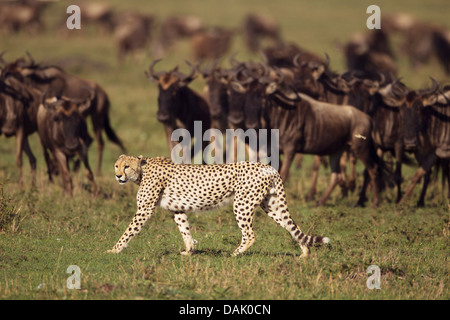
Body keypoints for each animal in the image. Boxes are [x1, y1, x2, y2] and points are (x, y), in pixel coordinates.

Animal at [107, 155, 328, 258]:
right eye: (116, 165)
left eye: (126, 166)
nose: (117, 176)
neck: (142, 170)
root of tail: (268, 166)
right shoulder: (177, 209)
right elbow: (185, 230)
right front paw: (189, 251)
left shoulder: (144, 209)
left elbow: (128, 231)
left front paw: (114, 250)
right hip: (271, 205)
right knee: (293, 227)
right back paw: (304, 252)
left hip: (242, 204)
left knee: (250, 234)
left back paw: (235, 254)